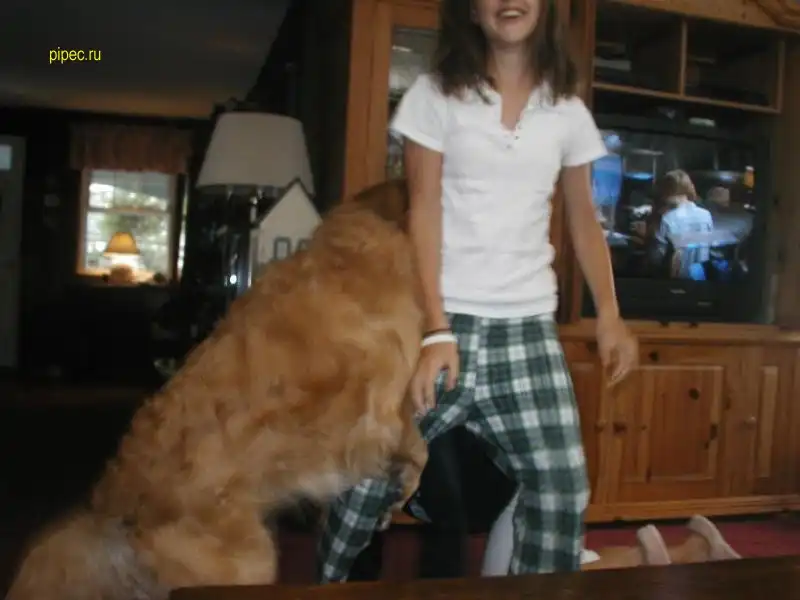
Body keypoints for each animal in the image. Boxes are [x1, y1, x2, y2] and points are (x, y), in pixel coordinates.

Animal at [6, 180, 428, 600]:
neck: (359, 244)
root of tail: (111, 509)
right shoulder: (385, 405)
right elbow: (417, 442)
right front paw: (405, 491)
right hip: (249, 561)